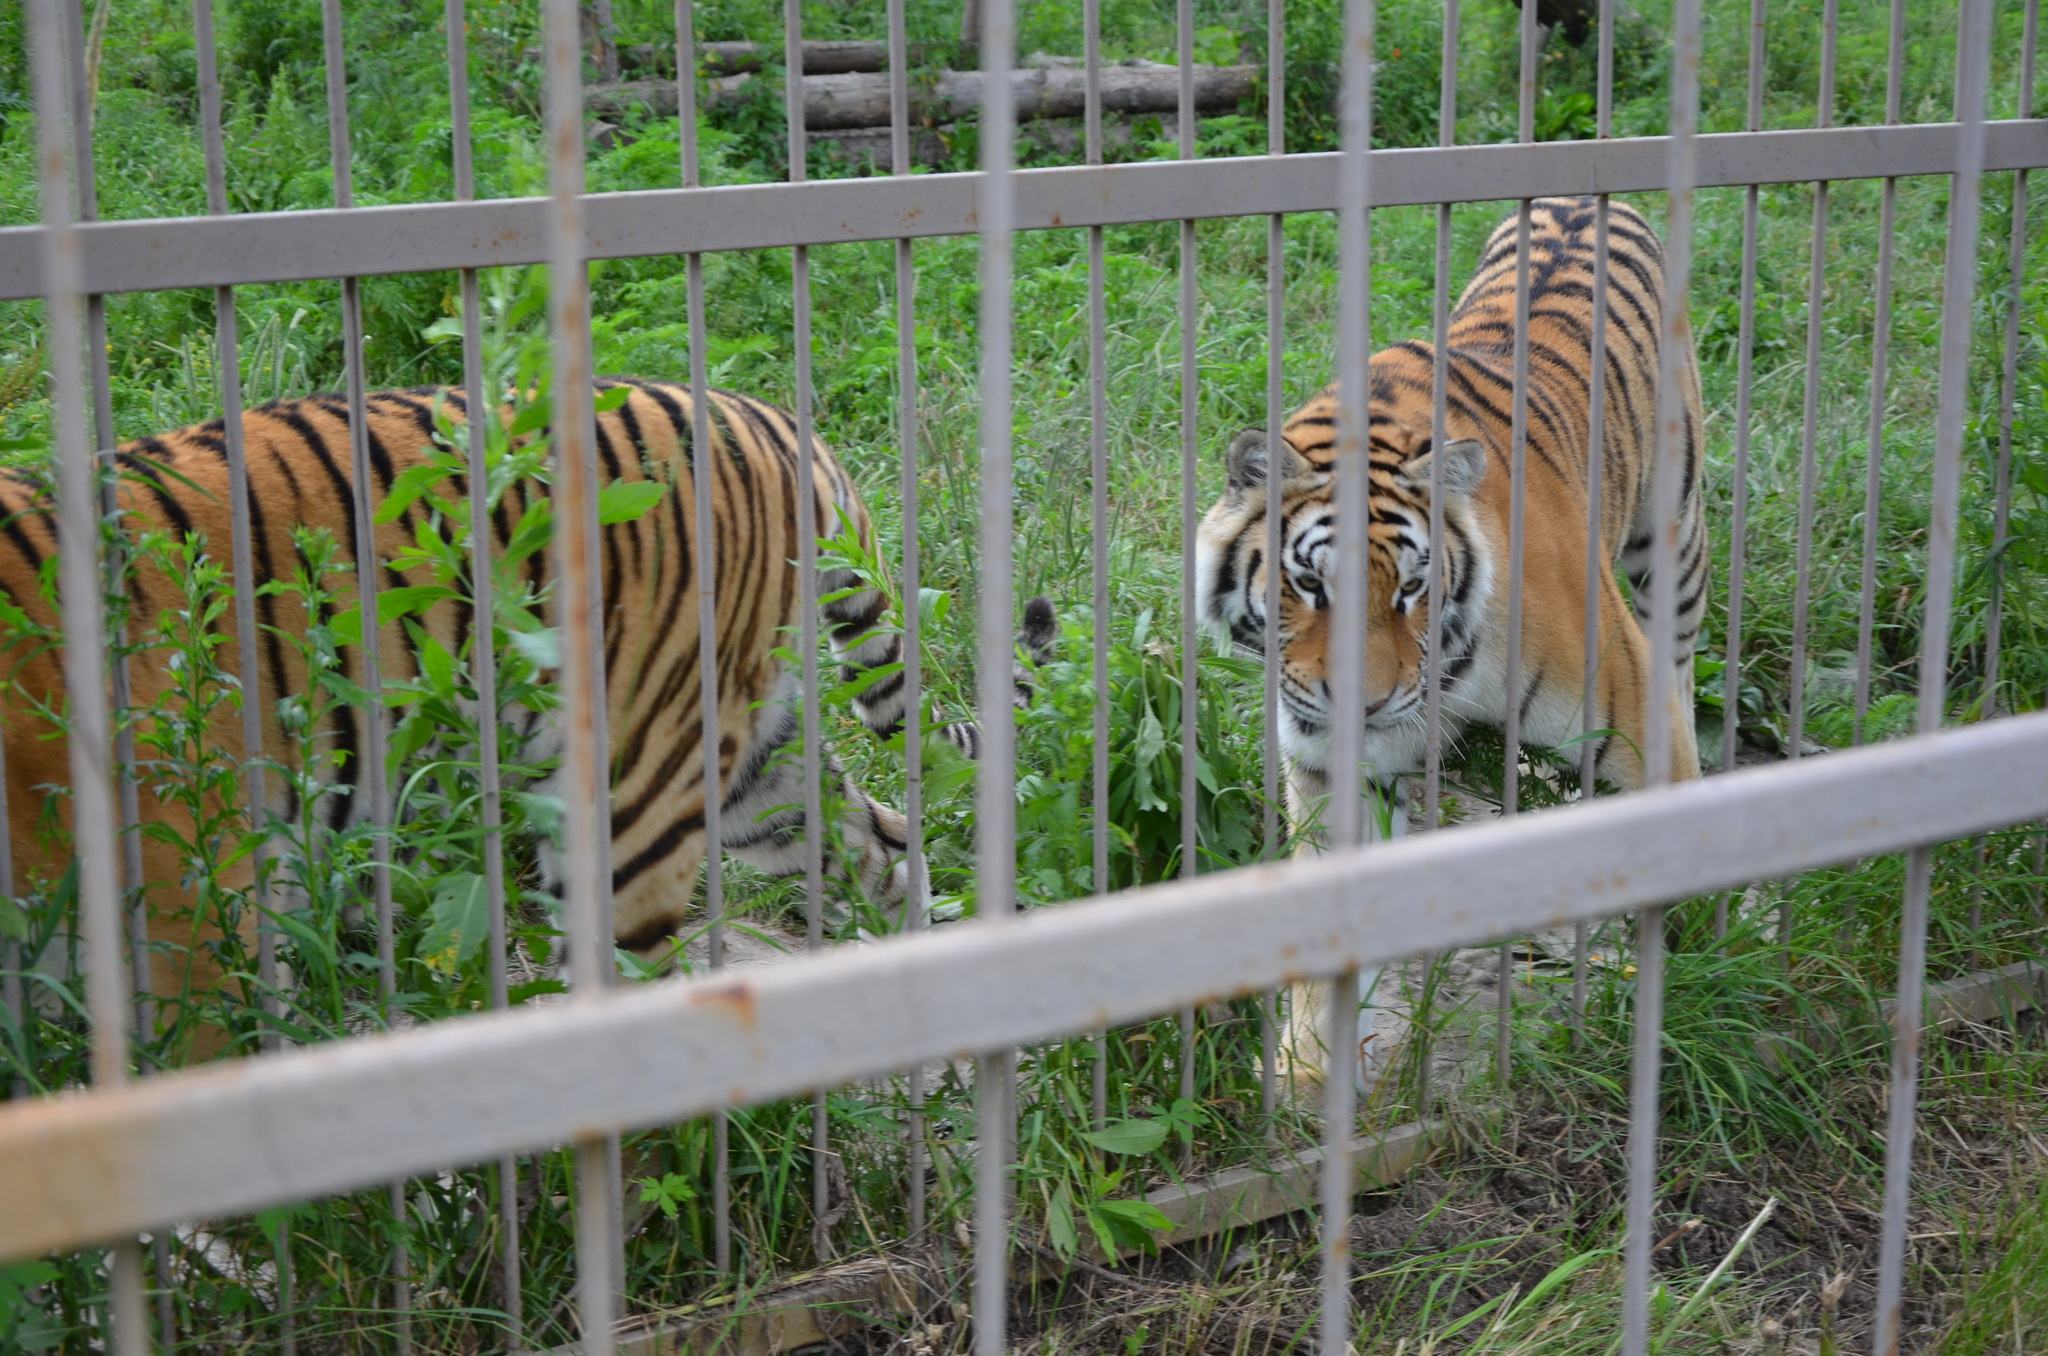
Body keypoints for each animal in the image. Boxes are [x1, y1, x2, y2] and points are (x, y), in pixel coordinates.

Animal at [1196, 199, 1712, 1097]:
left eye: (1411, 589)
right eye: (1309, 584)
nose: (1361, 702)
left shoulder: (1630, 719)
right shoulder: (1333, 770)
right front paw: (1311, 1068)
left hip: (1671, 545)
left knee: (1680, 667)